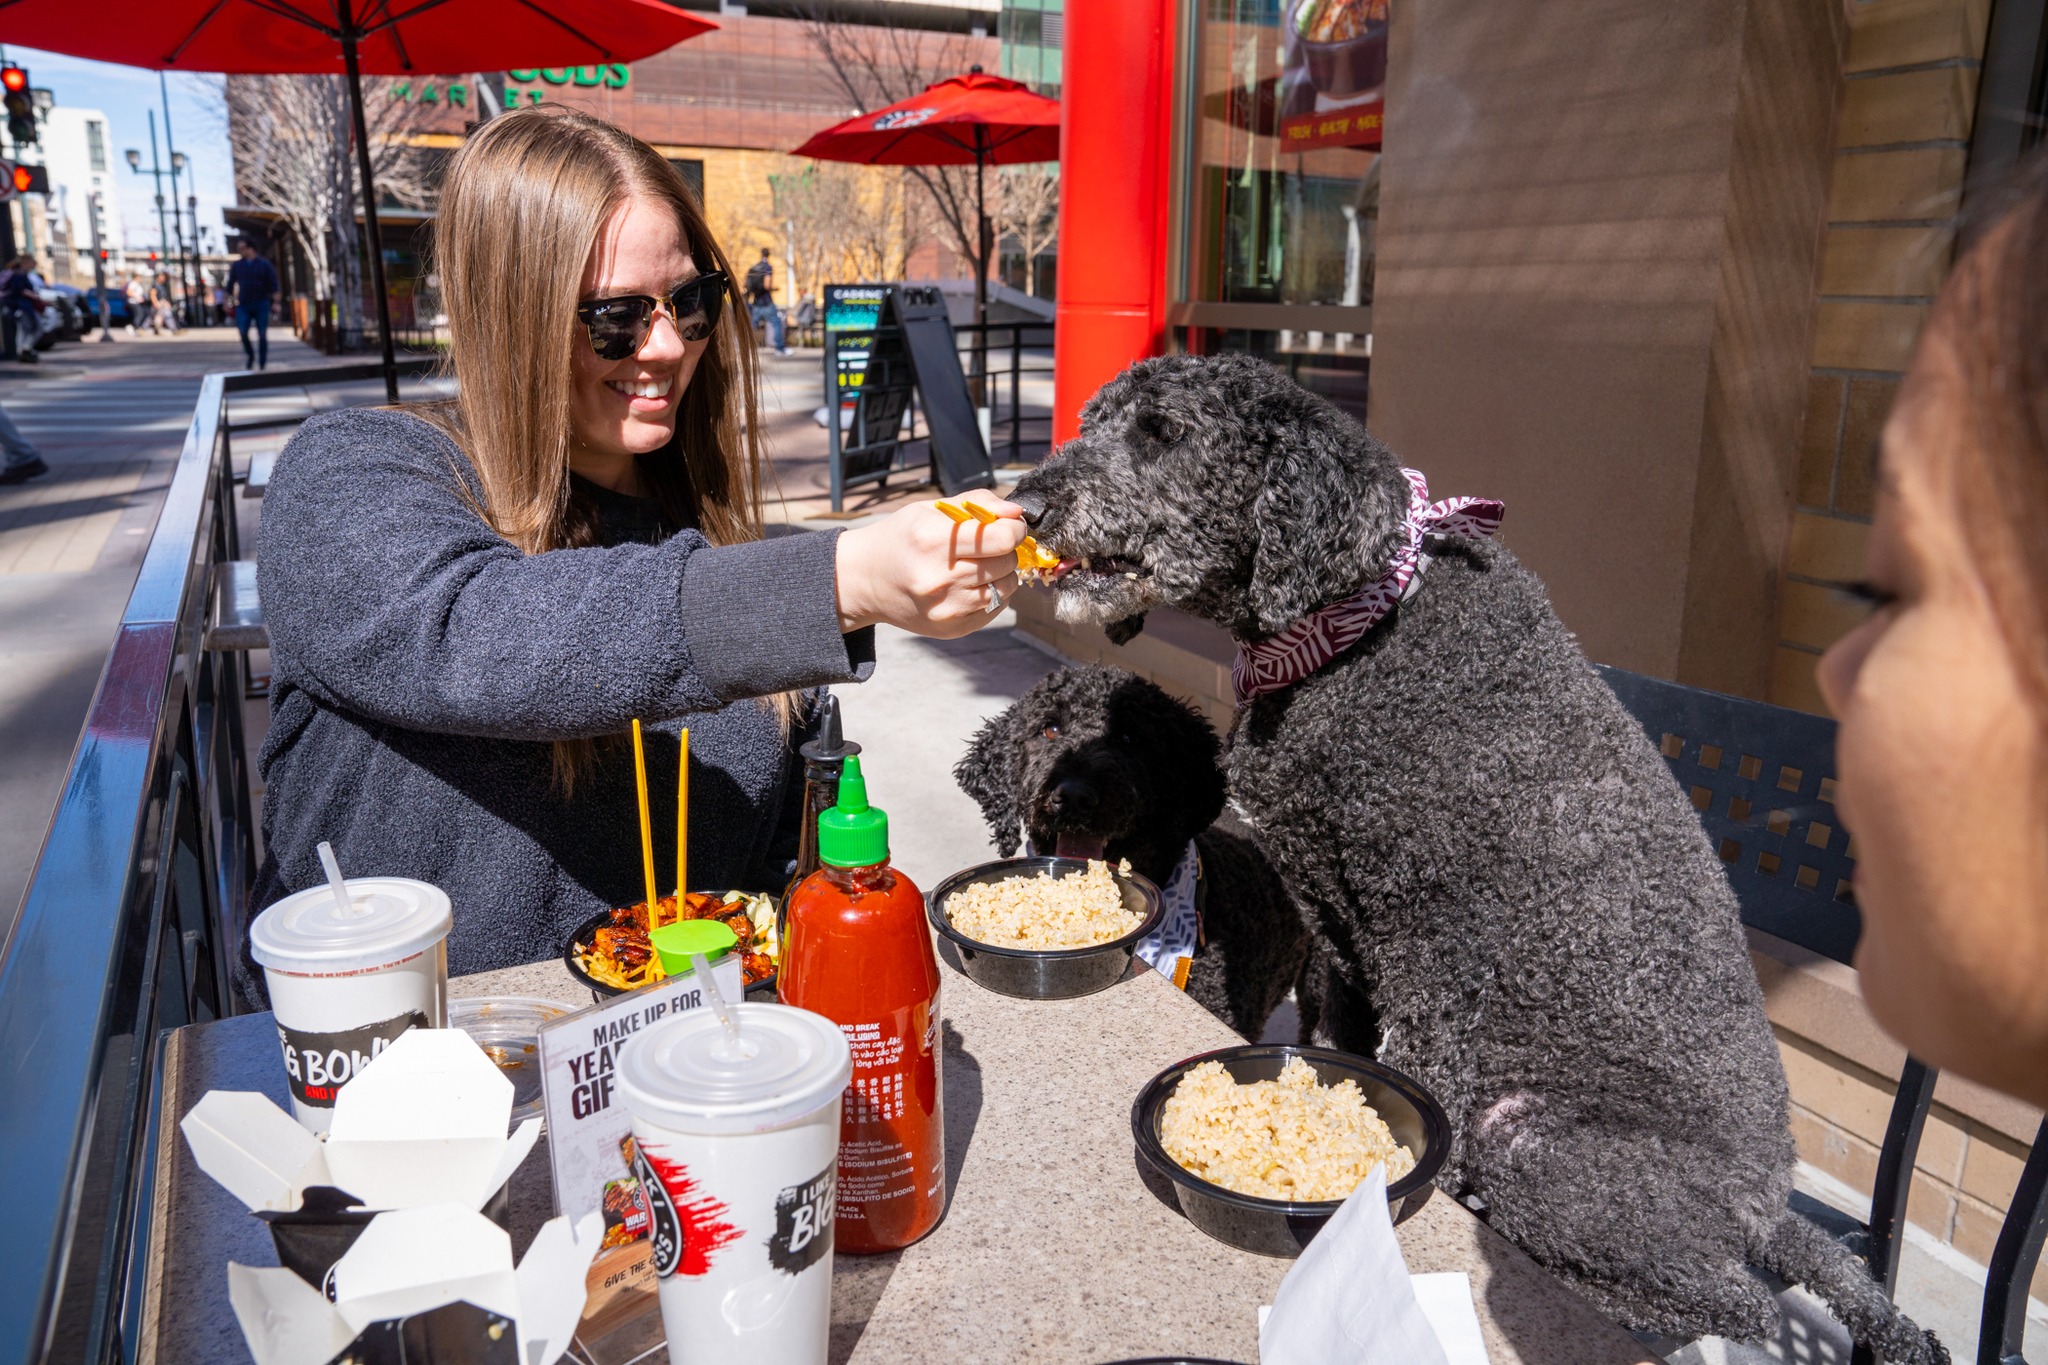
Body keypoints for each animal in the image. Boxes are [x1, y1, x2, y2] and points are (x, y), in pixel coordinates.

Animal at [1008, 353, 1944, 1362]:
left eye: (1163, 433)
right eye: (1094, 419)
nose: (1025, 502)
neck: (1360, 631)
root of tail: (1766, 1208)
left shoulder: (1437, 954)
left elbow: (1419, 1070)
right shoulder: (1345, 947)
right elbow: (1345, 1048)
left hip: (1549, 1152)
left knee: (1737, 1308)